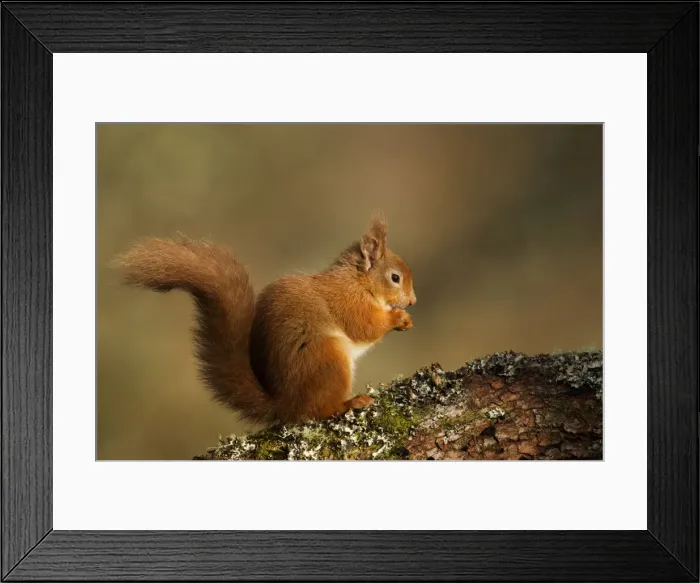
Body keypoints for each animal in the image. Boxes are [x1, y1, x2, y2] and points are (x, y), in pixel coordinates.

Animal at [114, 212, 416, 427]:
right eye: (395, 277)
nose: (413, 301)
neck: (357, 281)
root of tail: (285, 404)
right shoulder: (348, 302)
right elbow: (365, 327)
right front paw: (397, 317)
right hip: (328, 359)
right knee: (317, 411)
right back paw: (349, 403)